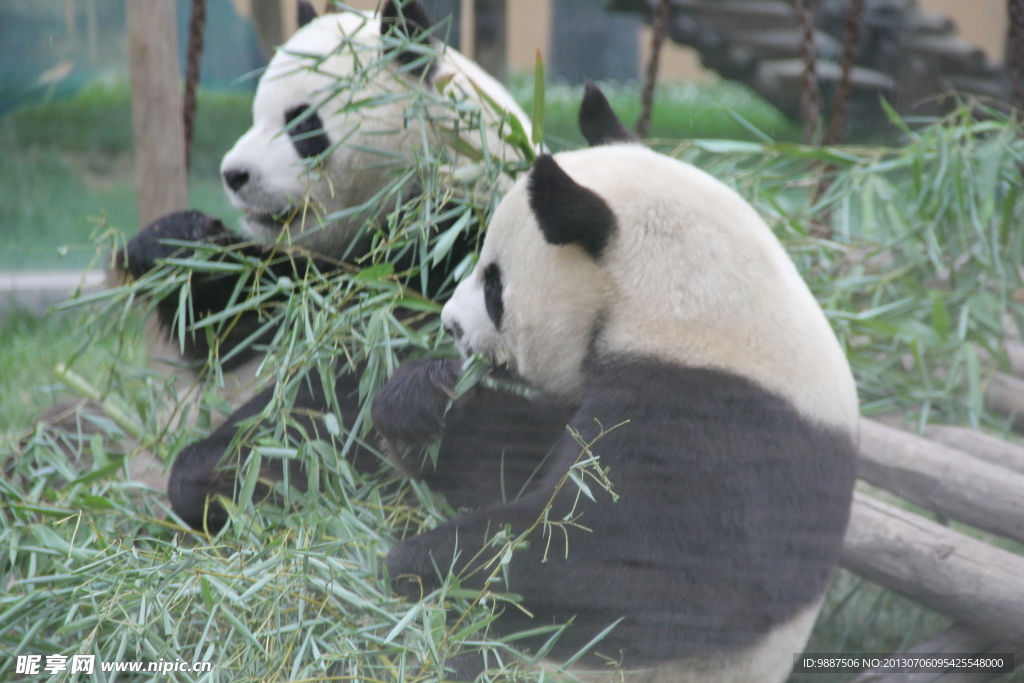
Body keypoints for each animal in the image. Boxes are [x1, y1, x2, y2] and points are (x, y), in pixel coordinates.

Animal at [372, 82, 860, 679]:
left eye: (493, 286)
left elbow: (628, 559)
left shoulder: (718, 420)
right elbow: (516, 456)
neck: (682, 304)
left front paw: (422, 561)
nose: (449, 324)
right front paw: (421, 401)